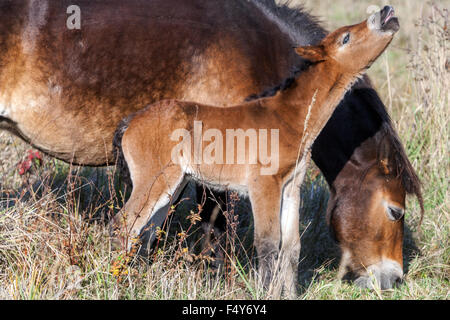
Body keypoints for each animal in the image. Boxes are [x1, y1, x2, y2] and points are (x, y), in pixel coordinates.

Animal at [0, 0, 422, 290]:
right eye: (395, 211)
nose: (386, 13)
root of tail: (131, 121)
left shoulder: (289, 188)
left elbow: (290, 249)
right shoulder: (258, 187)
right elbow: (259, 244)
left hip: (165, 185)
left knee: (137, 231)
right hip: (158, 182)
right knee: (124, 226)